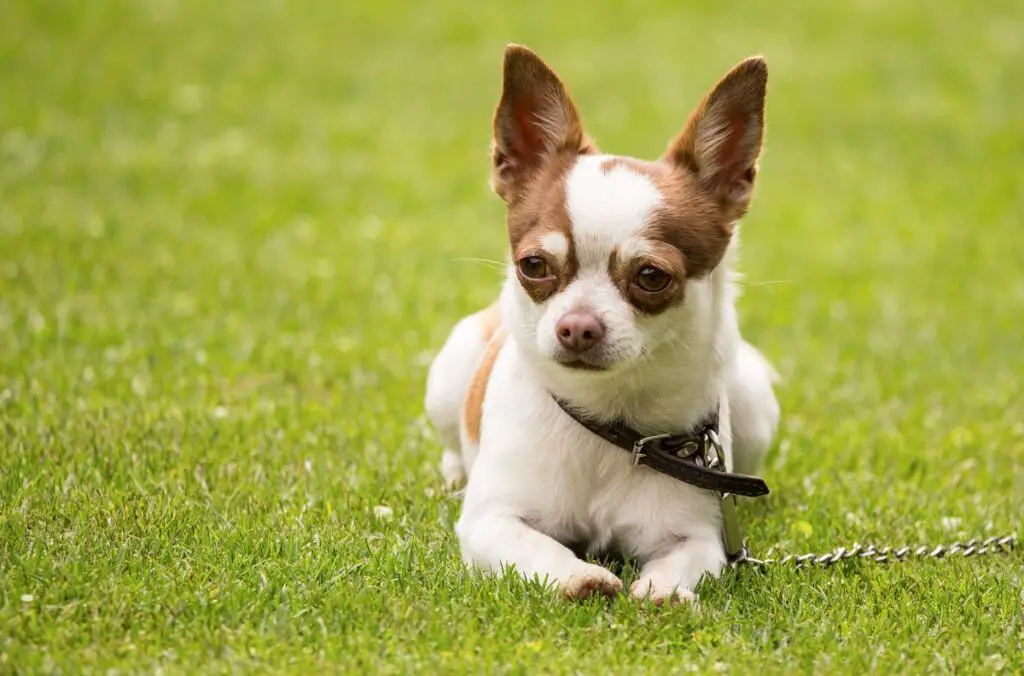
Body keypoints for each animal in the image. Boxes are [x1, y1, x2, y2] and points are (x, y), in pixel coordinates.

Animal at [423, 44, 774, 606]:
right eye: (534, 265)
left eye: (652, 277)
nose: (577, 327)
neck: (609, 420)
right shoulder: (490, 522)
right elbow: (536, 547)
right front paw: (578, 576)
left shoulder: (696, 536)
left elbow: (687, 563)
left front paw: (663, 591)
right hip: (448, 374)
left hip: (753, 400)